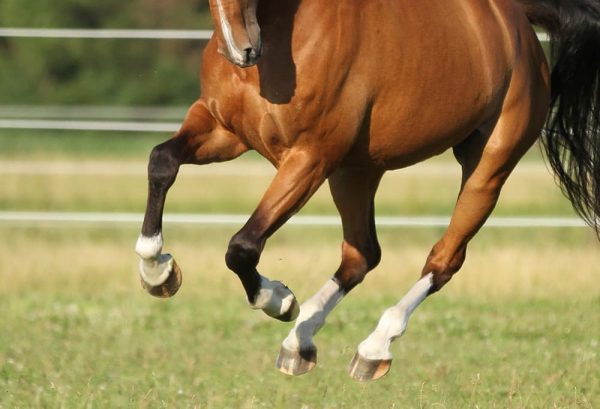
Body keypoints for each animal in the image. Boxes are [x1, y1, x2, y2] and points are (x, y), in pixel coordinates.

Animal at [135, 0, 600, 380]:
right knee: (362, 255)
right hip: (356, 172)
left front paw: (279, 299)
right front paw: (158, 271)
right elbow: (161, 162)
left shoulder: (308, 158)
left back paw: (373, 348)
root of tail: (515, 18)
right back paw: (300, 344)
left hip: (487, 168)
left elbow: (243, 246)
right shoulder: (223, 131)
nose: (243, 50)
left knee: (444, 259)